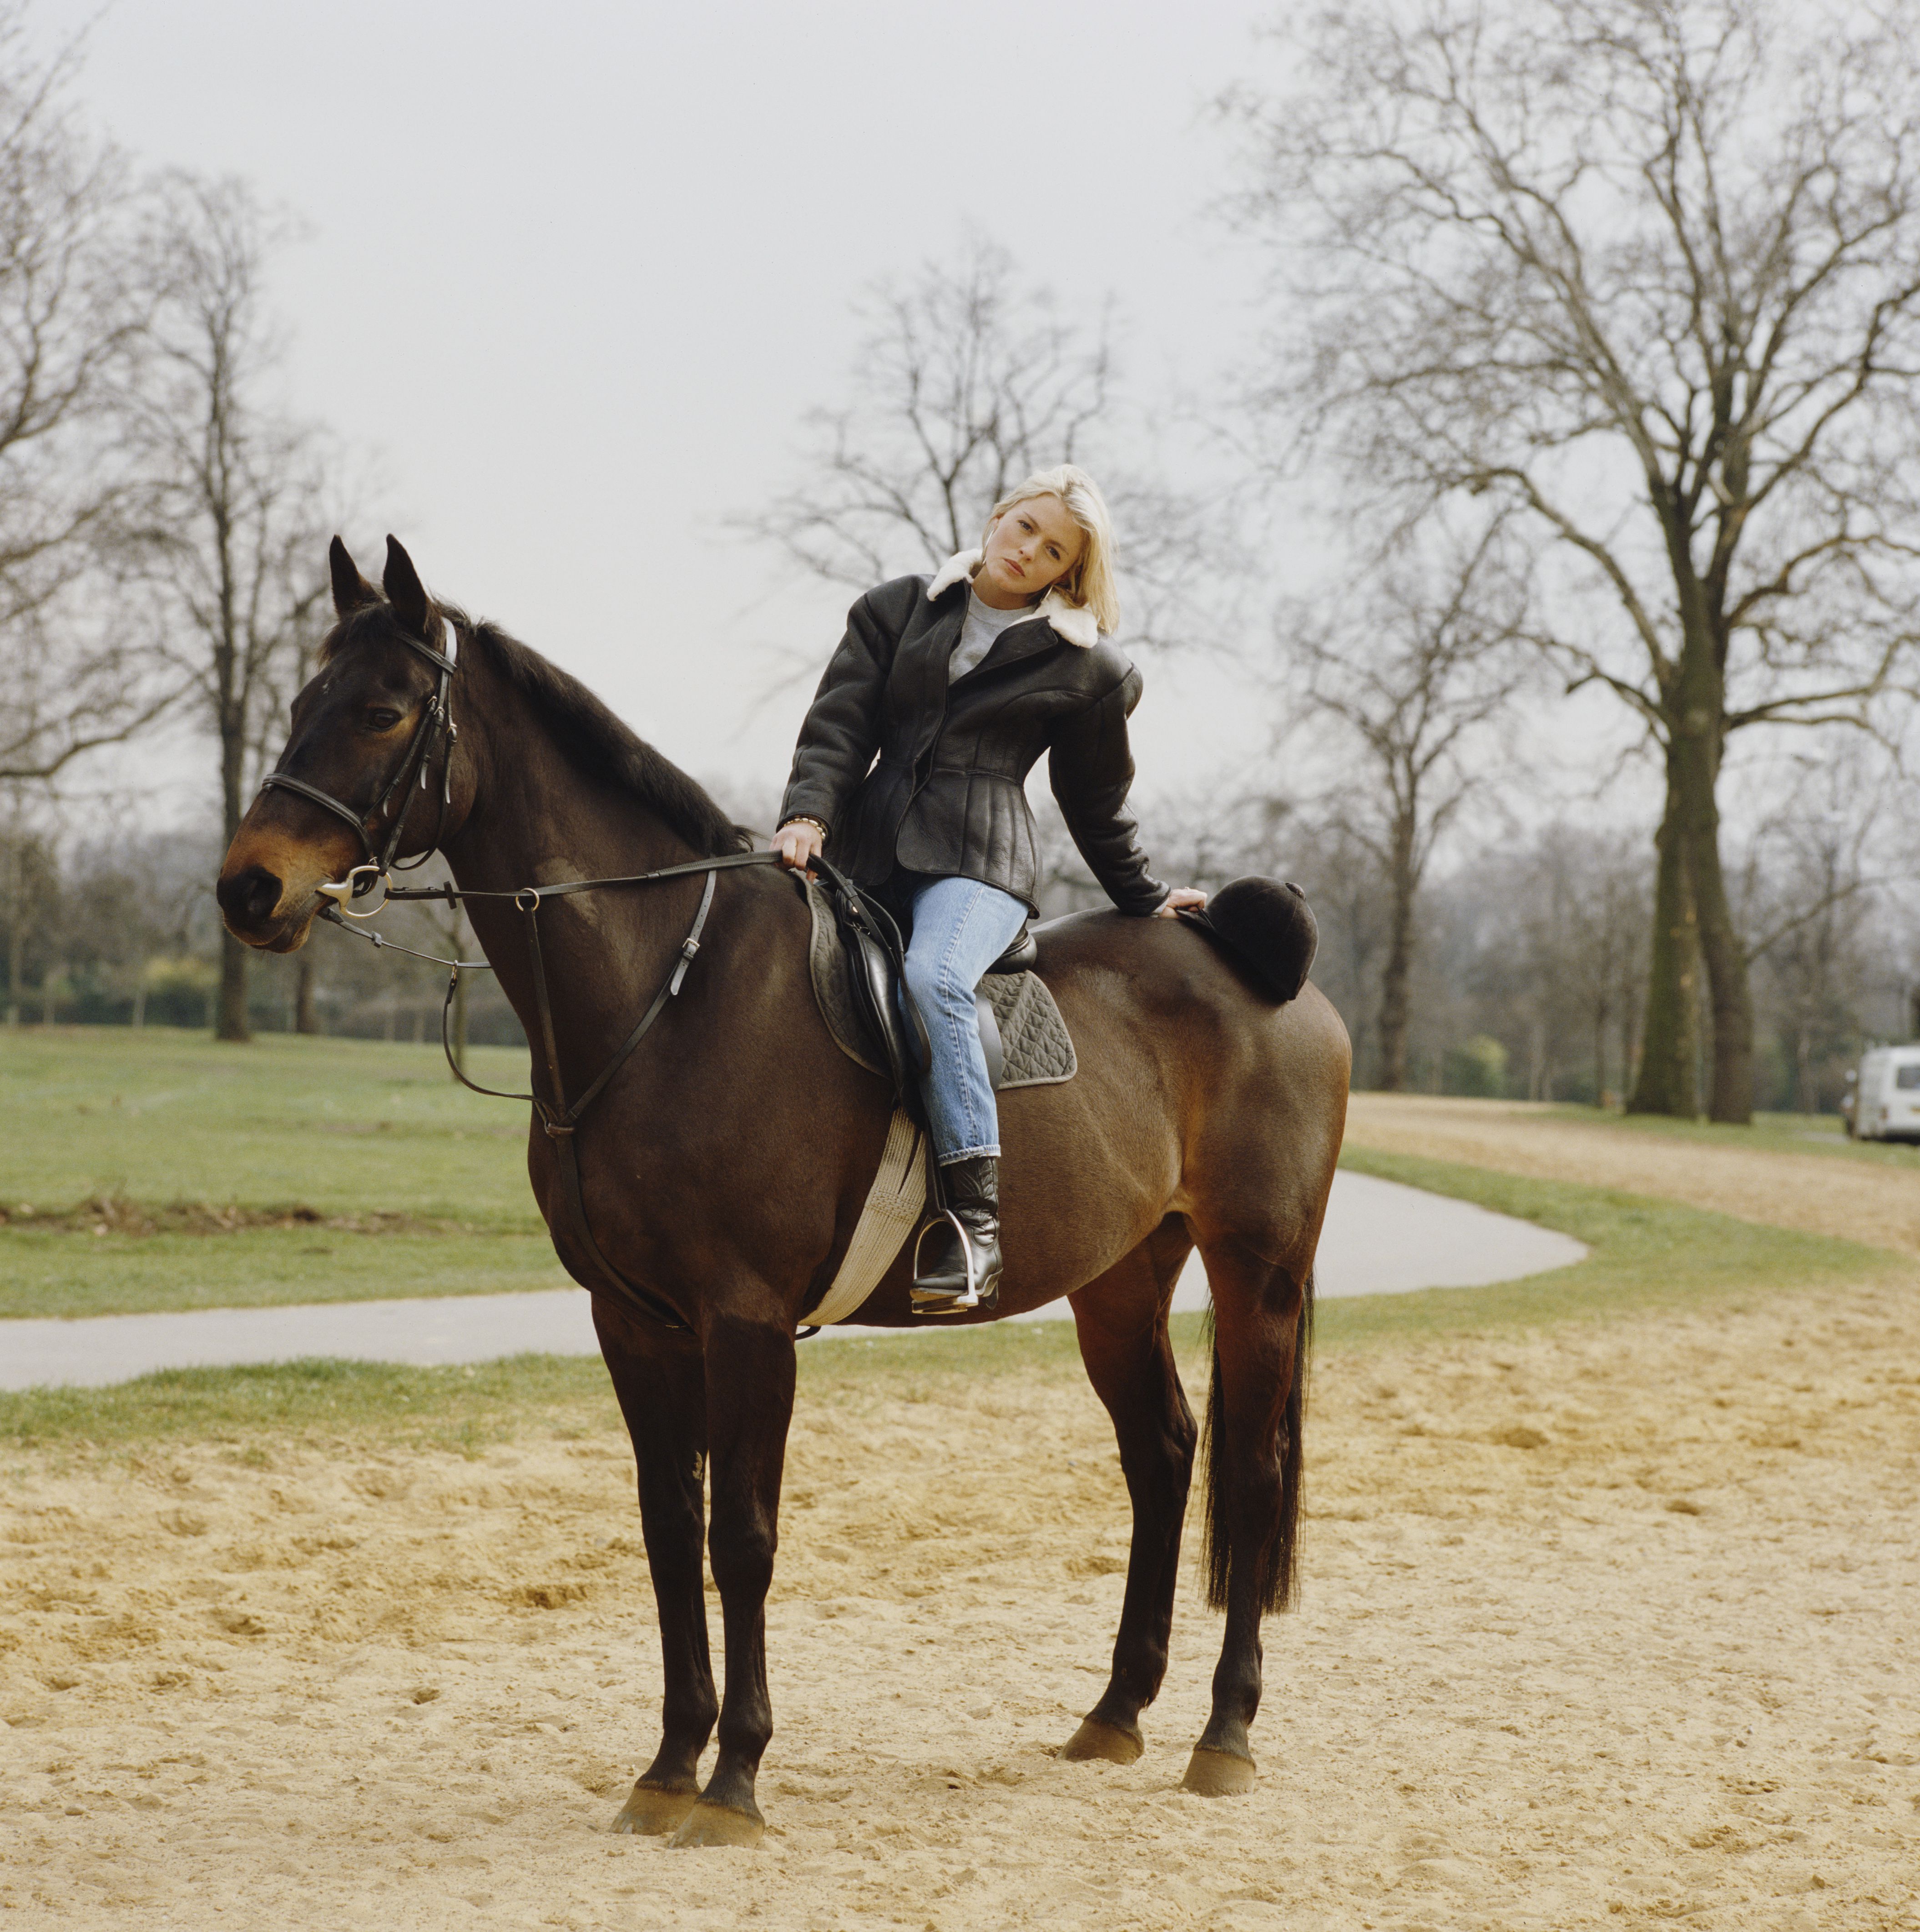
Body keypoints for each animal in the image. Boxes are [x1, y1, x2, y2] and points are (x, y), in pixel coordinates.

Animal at [217, 537, 1344, 1847]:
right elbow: (669, 1529)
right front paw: (667, 1766)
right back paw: (1114, 1713)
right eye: (305, 698)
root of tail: (1256, 961)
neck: (667, 984)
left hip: (1257, 1270)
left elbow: (741, 1537)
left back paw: (1224, 1733)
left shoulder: (746, 1319)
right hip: (1119, 1280)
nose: (249, 889)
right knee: (1162, 1456)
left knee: (1250, 1475)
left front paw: (735, 1778)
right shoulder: (635, 1321)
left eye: (384, 710)